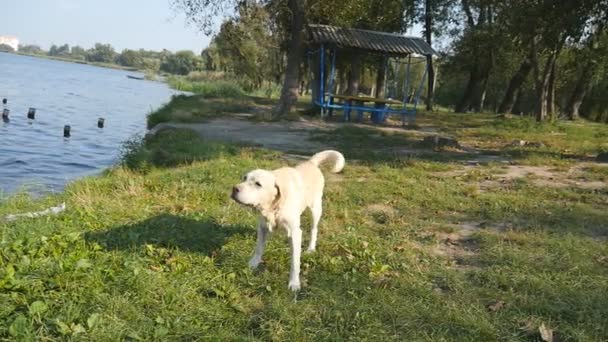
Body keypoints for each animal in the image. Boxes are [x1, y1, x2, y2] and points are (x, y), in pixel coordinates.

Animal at [230, 150, 344, 292]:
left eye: (258, 184)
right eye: (244, 178)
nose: (234, 188)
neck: (274, 206)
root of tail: (310, 162)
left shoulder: (295, 233)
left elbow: (295, 262)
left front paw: (294, 283)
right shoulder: (262, 227)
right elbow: (259, 248)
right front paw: (253, 263)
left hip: (315, 209)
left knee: (314, 229)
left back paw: (311, 248)